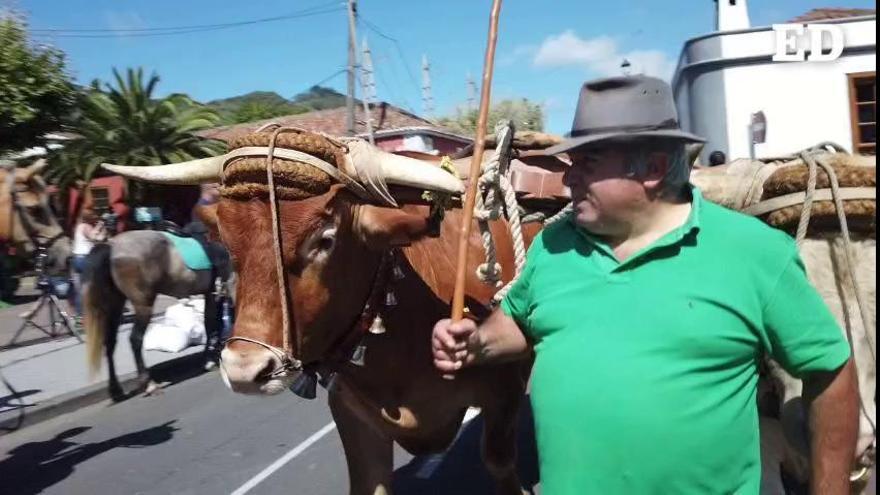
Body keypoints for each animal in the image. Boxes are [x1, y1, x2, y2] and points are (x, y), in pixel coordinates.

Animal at [83, 231, 227, 402]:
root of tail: (111, 246)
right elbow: (212, 322)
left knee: (110, 343)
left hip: (115, 305)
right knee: (135, 339)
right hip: (143, 304)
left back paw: (116, 390)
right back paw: (149, 384)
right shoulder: (217, 291)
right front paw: (211, 359)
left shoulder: (213, 292)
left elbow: (213, 321)